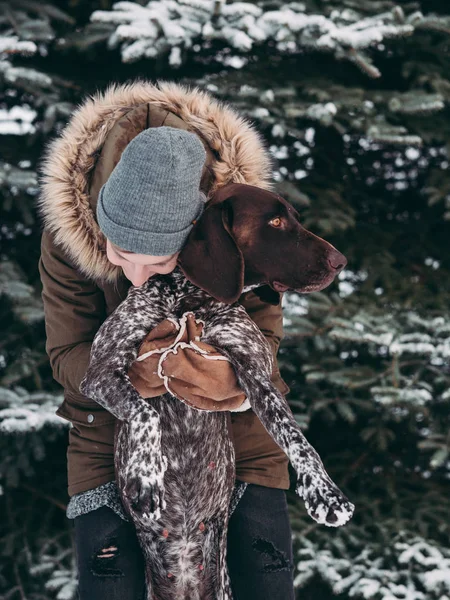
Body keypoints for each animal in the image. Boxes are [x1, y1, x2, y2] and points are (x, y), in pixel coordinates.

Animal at [80, 183, 356, 600]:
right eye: (275, 222)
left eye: (293, 216)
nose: (340, 260)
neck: (191, 302)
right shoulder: (100, 370)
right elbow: (145, 410)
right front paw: (146, 474)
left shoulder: (256, 377)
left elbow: (298, 440)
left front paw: (324, 493)